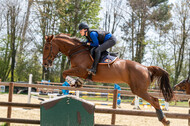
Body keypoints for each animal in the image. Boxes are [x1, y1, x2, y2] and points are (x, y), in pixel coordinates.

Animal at [42, 33, 174, 125]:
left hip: (139, 90)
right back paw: (164, 120)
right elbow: (66, 74)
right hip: (138, 90)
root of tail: (146, 68)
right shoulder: (79, 71)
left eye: (47, 47)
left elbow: (64, 73)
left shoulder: (82, 70)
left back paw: (164, 120)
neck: (77, 50)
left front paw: (74, 82)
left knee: (155, 101)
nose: (45, 64)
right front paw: (77, 83)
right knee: (154, 100)